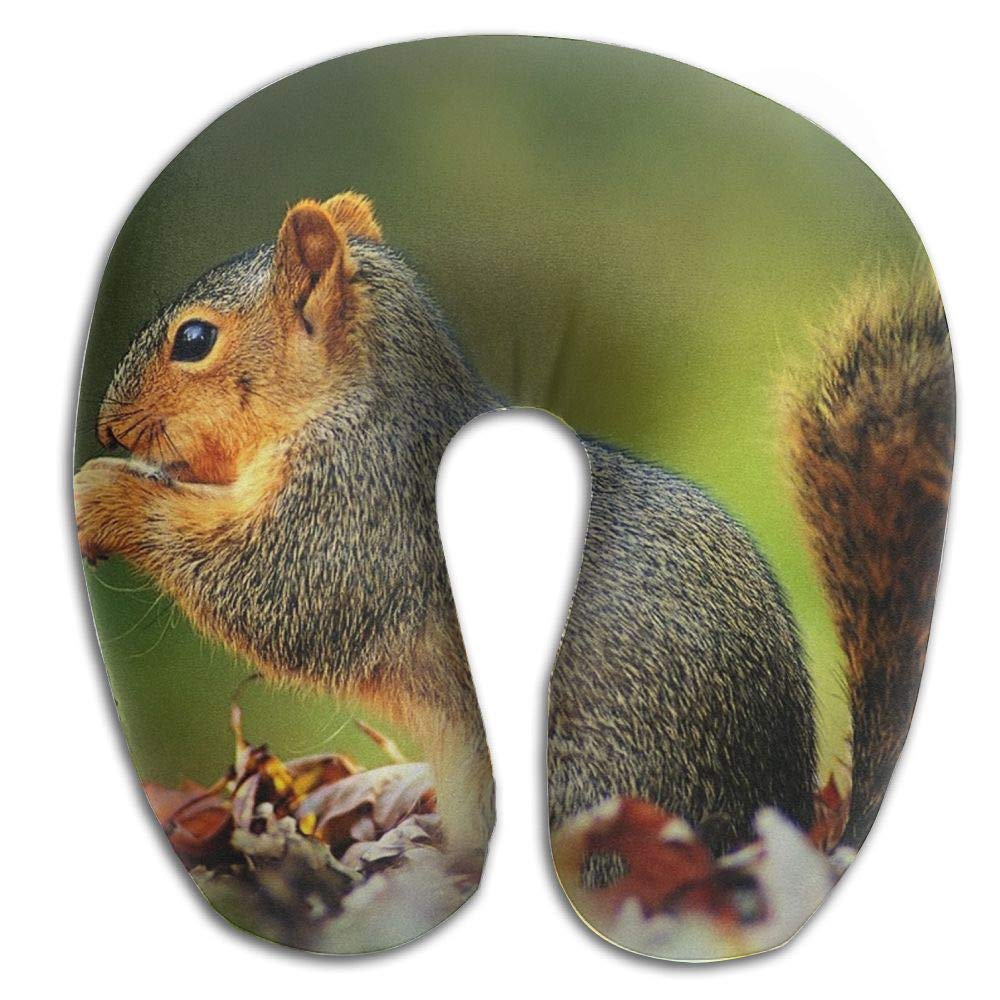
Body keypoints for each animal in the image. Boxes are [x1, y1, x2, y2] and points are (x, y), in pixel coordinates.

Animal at [74, 192, 954, 867]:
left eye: (194, 339)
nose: (108, 426)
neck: (354, 402)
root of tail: (769, 829)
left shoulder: (360, 513)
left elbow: (278, 592)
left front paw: (104, 496)